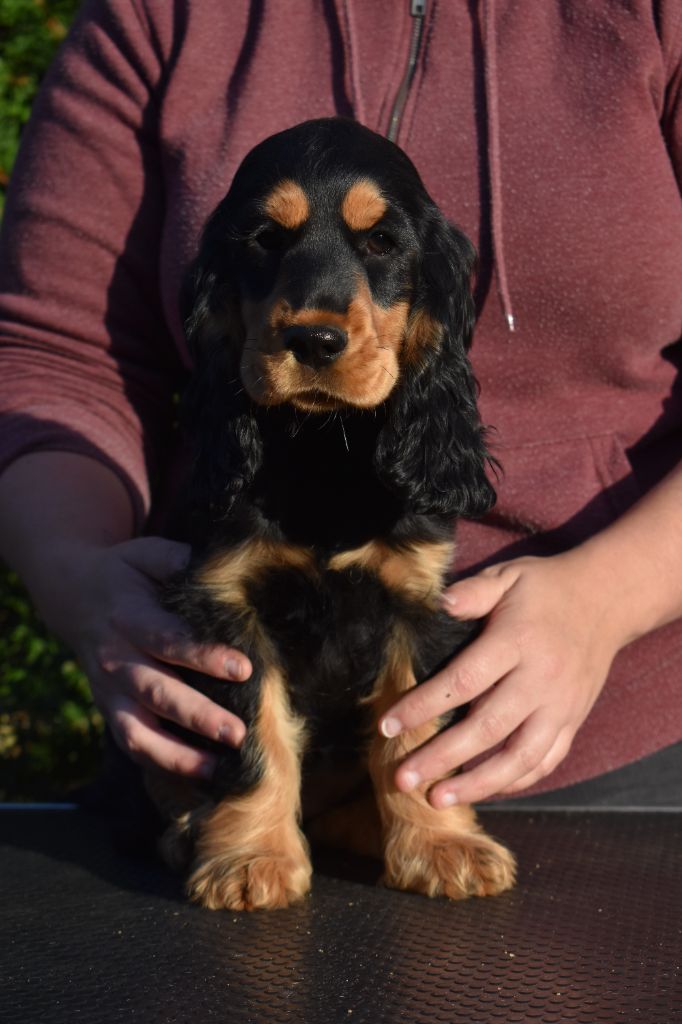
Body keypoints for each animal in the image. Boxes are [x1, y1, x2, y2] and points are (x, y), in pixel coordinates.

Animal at [155, 117, 516, 910]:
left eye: (381, 242)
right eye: (265, 239)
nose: (313, 341)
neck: (322, 447)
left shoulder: (413, 604)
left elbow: (416, 736)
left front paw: (441, 846)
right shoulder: (229, 606)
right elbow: (256, 732)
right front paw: (250, 858)